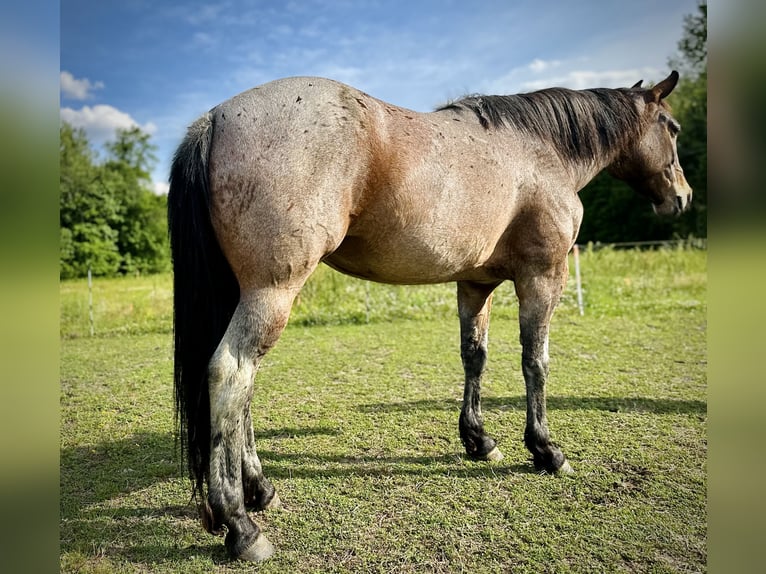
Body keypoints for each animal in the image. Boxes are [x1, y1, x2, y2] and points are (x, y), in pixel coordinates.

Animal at [168, 71, 692, 561]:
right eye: (673, 128)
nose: (682, 197)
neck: (538, 152)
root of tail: (214, 119)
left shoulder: (475, 285)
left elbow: (474, 357)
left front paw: (478, 440)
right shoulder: (543, 276)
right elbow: (535, 362)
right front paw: (545, 450)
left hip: (243, 295)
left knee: (241, 392)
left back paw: (260, 490)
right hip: (271, 293)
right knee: (231, 375)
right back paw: (241, 524)